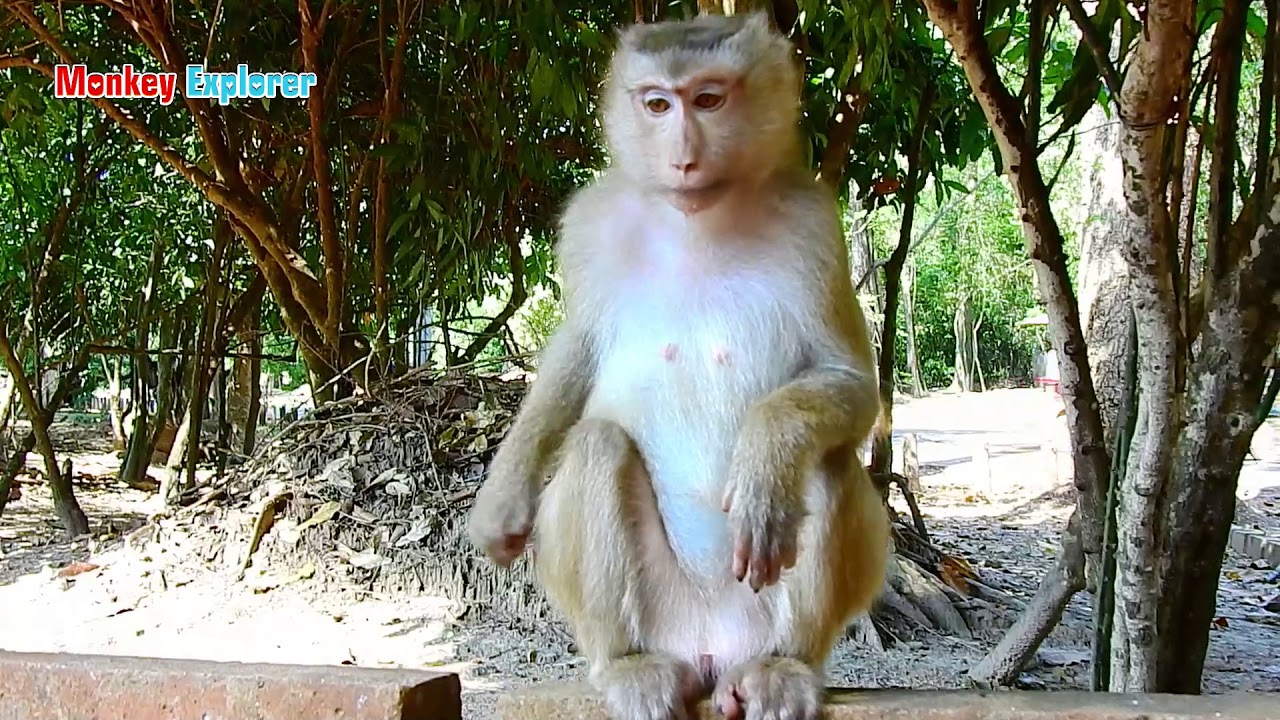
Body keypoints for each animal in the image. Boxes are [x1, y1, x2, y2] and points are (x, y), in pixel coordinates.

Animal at [467, 12, 889, 720]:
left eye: (709, 99)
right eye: (659, 104)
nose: (683, 155)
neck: (699, 219)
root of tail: (711, 650)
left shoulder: (815, 228)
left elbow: (852, 385)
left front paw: (766, 453)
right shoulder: (590, 224)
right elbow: (577, 352)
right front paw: (503, 497)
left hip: (753, 617)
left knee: (825, 459)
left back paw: (783, 667)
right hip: (661, 612)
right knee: (598, 444)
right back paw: (631, 664)